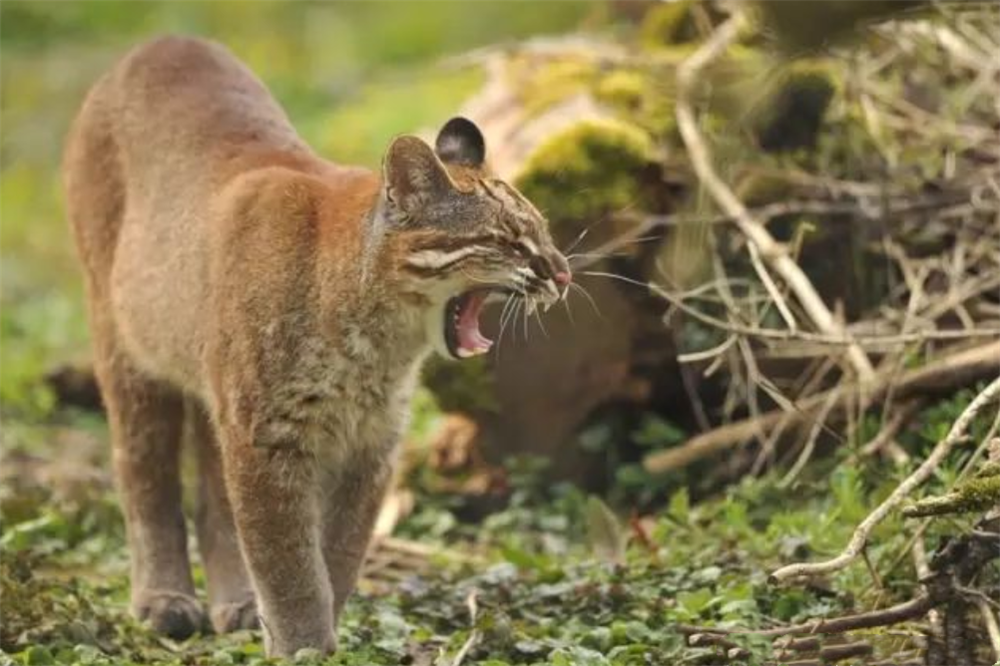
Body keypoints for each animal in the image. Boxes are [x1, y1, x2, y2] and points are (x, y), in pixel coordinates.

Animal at [64, 37, 572, 652]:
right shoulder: (267, 434)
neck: (380, 341)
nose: (564, 273)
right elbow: (287, 557)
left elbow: (339, 550)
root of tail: (160, 42)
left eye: (542, 230)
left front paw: (319, 630)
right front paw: (305, 645)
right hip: (124, 348)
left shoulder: (370, 442)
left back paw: (236, 603)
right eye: (507, 240)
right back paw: (164, 601)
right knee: (144, 472)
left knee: (214, 495)